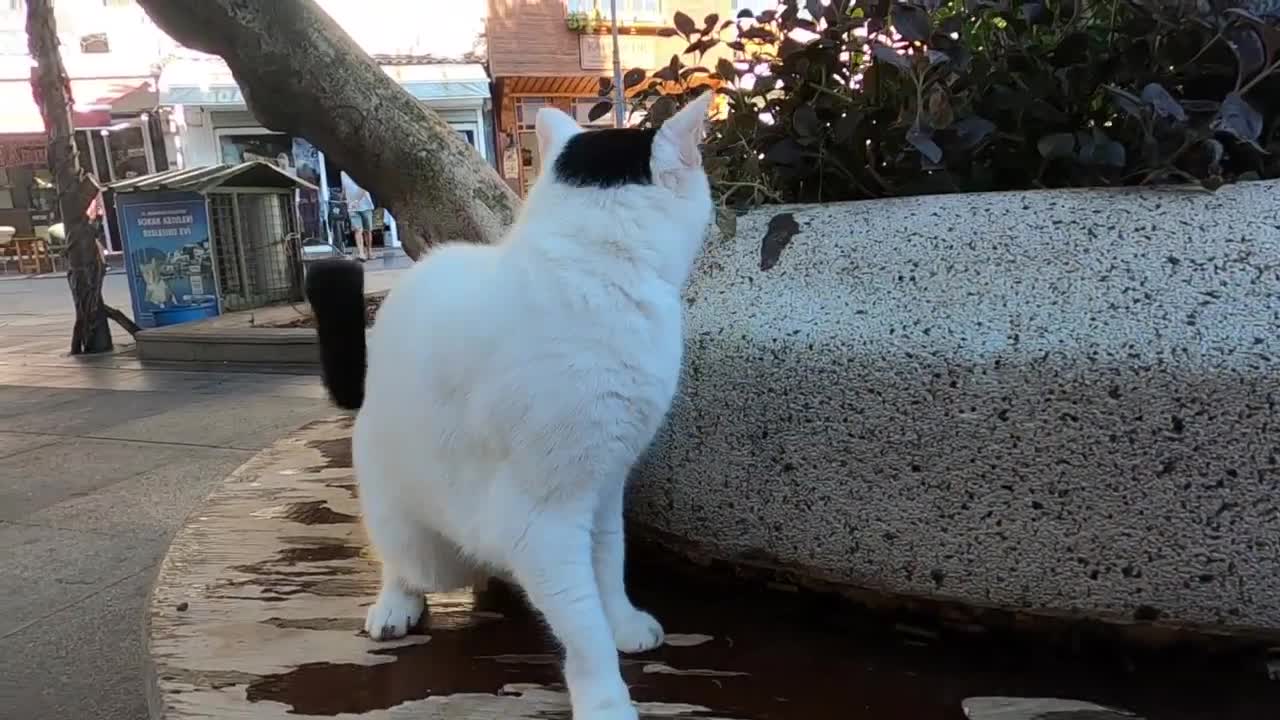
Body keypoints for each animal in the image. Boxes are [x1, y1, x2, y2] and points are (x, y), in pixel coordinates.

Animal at [304, 90, 716, 717]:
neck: (594, 271)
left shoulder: (604, 487)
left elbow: (608, 568)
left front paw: (622, 623)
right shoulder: (542, 520)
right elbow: (582, 621)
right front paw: (605, 697)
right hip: (420, 535)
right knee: (400, 562)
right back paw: (395, 606)